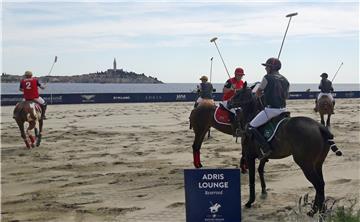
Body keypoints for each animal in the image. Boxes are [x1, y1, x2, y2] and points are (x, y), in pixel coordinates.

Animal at [233, 83, 344, 217]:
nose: (227, 103)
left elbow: (252, 179)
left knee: (318, 184)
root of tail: (319, 127)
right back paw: (318, 211)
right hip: (317, 163)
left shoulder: (250, 156)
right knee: (321, 183)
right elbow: (260, 170)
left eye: (238, 94)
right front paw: (264, 191)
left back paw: (315, 211)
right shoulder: (263, 156)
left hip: (305, 163)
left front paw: (250, 202)